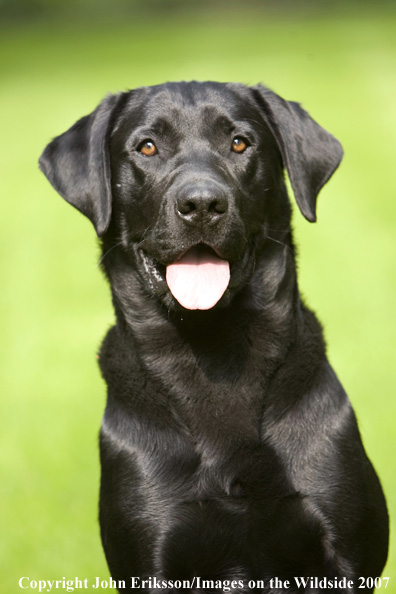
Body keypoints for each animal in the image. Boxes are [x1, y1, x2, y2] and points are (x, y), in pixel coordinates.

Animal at [39, 82, 386, 588]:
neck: (214, 348)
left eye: (239, 143)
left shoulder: (343, 555)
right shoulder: (152, 555)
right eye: (147, 147)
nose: (201, 204)